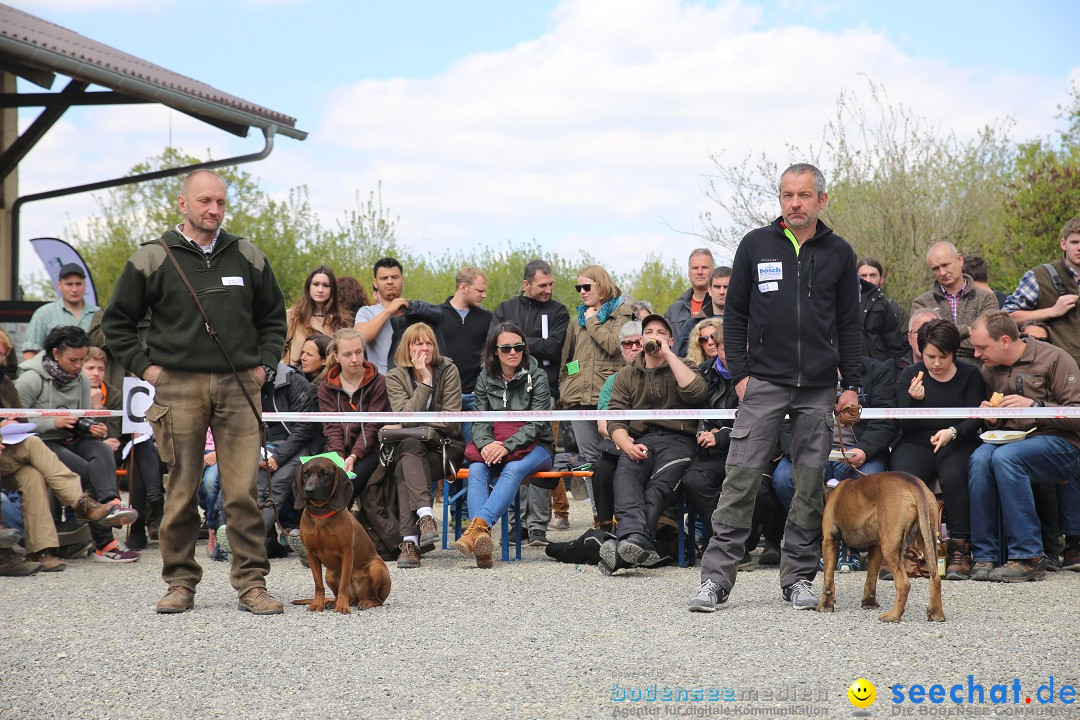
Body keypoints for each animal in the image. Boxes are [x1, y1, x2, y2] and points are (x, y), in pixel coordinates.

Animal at [291, 459, 393, 617]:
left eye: (325, 473)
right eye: (306, 473)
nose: (308, 490)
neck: (321, 514)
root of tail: (358, 596)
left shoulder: (346, 553)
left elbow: (344, 584)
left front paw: (342, 606)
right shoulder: (311, 554)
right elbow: (318, 585)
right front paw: (318, 604)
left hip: (377, 568)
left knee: (378, 599)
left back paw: (365, 602)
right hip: (330, 573)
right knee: (341, 594)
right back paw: (333, 601)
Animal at [816, 470, 946, 621]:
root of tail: (913, 483)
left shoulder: (829, 541)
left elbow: (828, 579)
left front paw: (825, 605)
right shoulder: (875, 546)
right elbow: (871, 579)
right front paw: (869, 603)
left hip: (890, 548)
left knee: (904, 584)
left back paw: (894, 615)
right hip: (926, 540)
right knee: (935, 578)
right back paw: (936, 614)